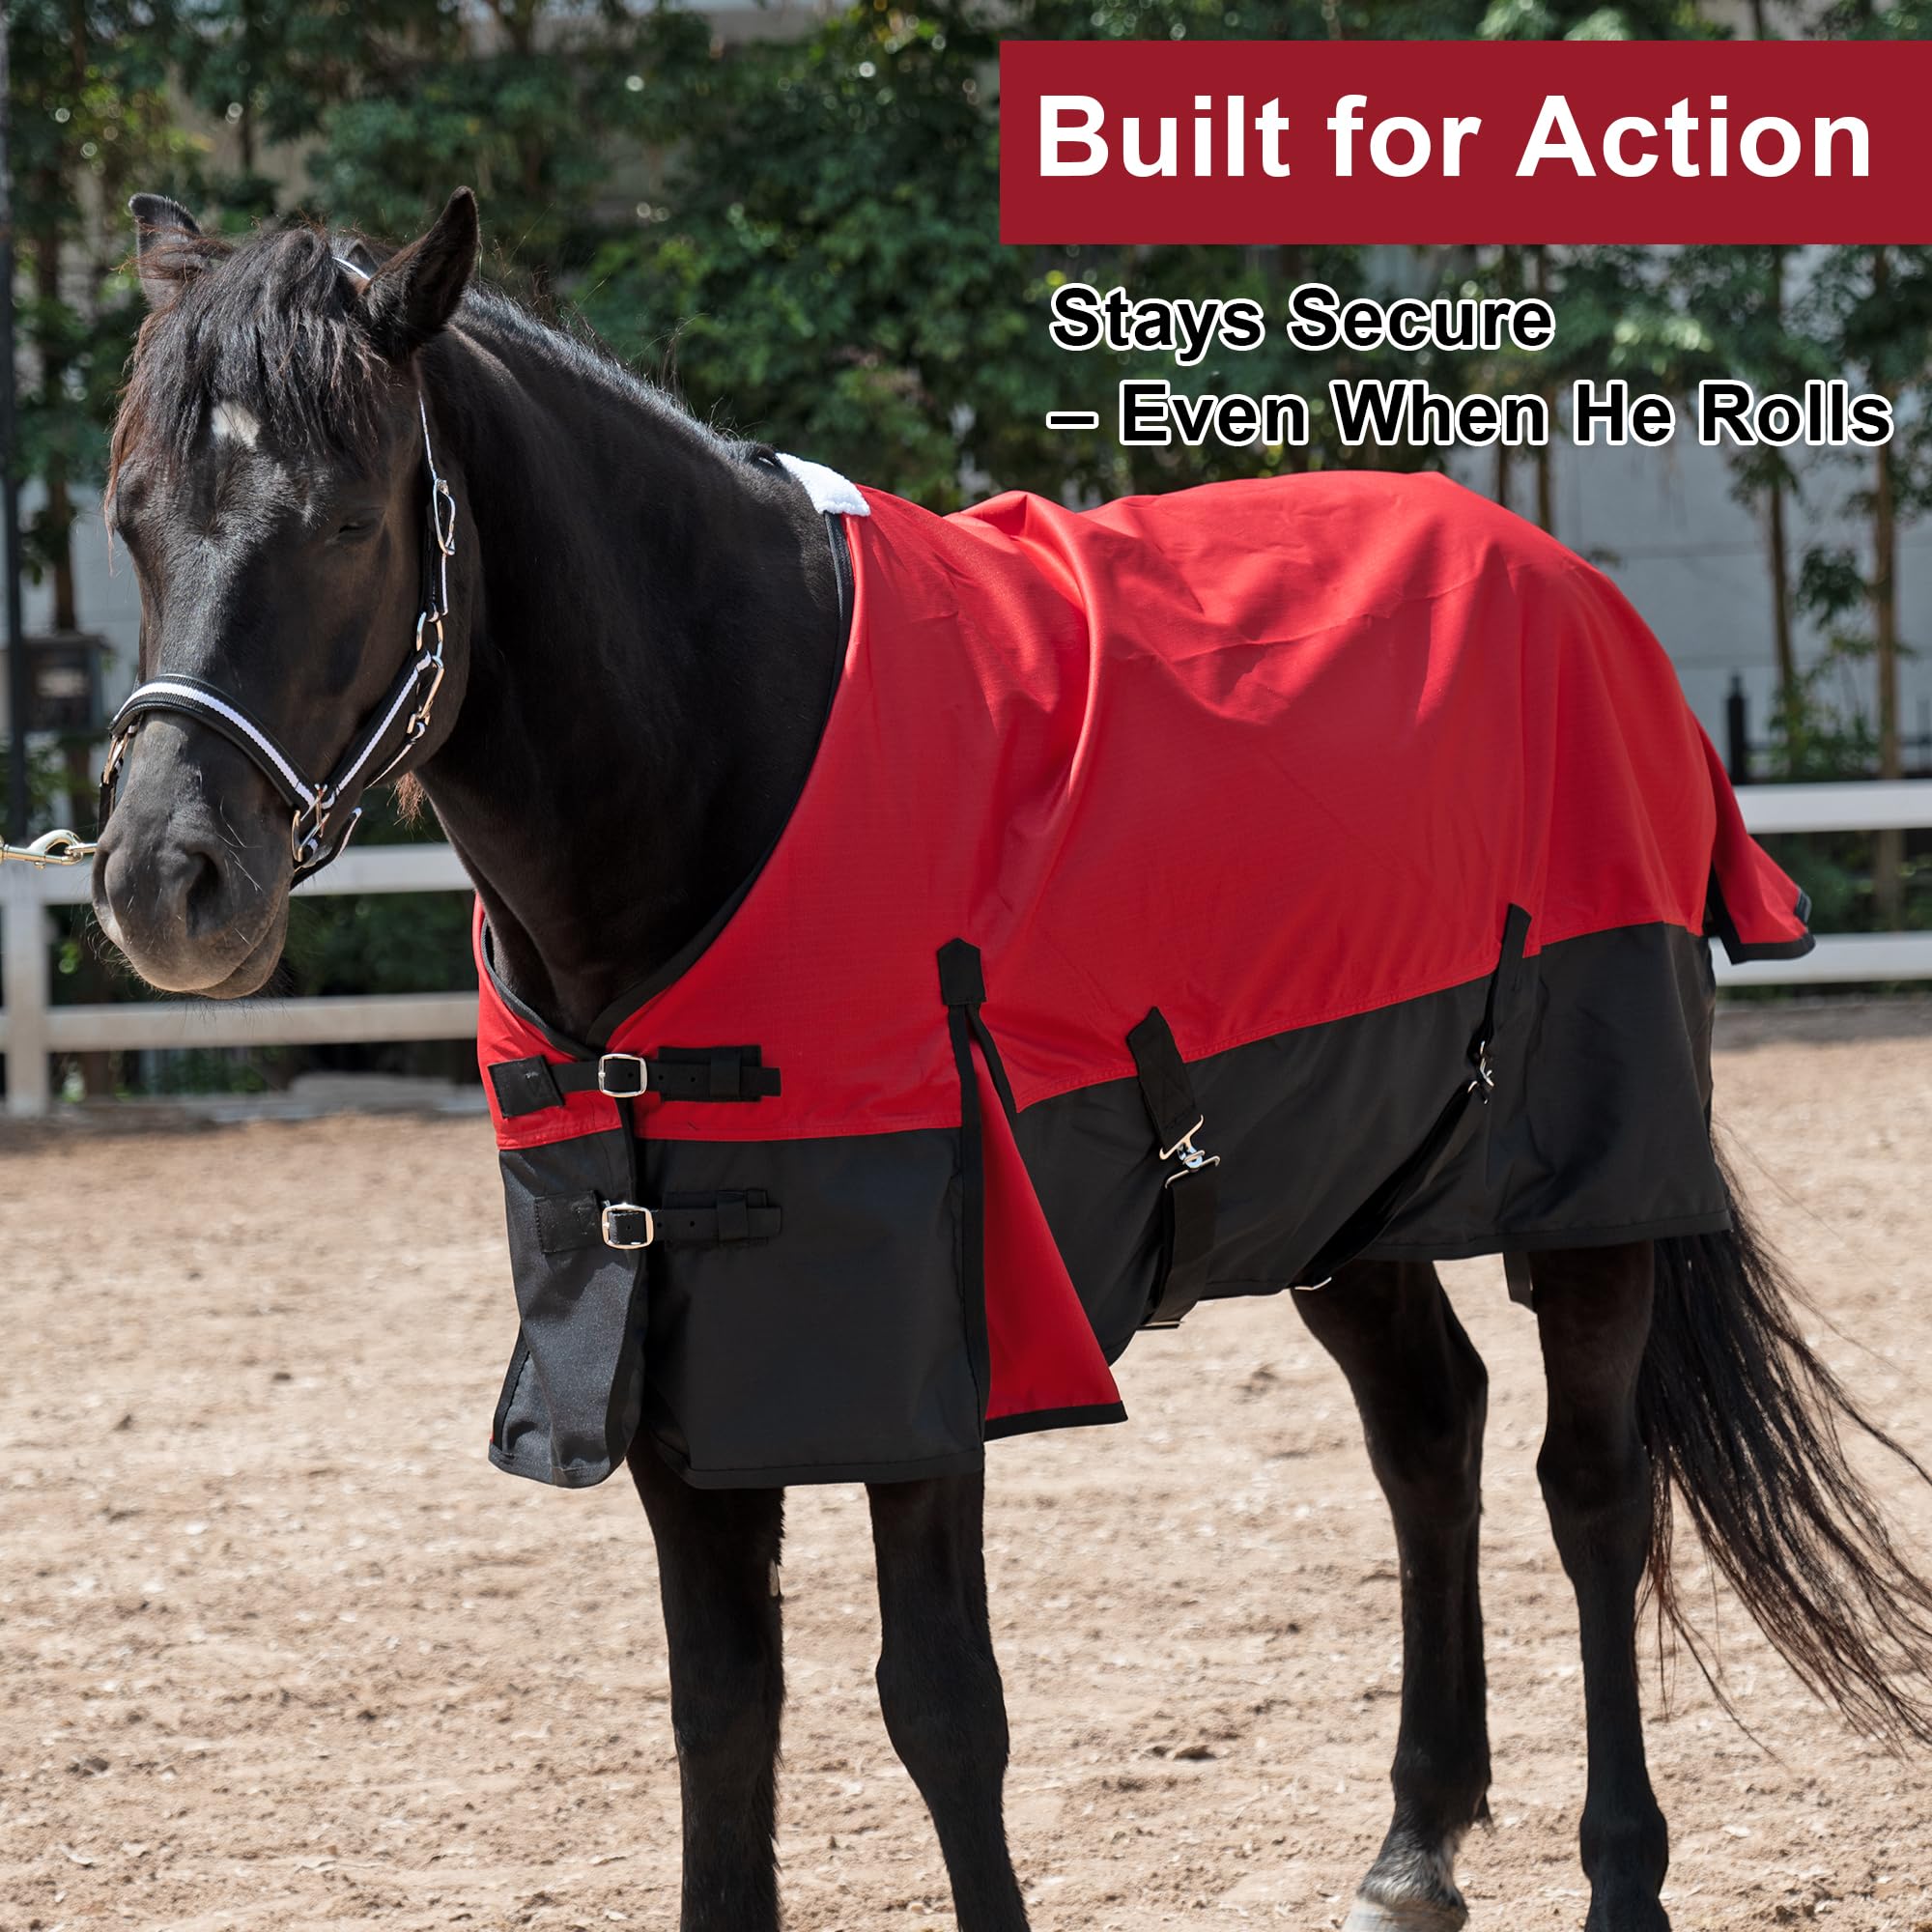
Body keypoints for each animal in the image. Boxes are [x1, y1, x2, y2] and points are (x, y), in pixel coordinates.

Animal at [93, 187, 1932, 1932]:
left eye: (349, 520)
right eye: (129, 519)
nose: (165, 883)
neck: (733, 765)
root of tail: (1569, 584)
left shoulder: (926, 1360)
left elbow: (940, 1709)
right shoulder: (663, 1357)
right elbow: (722, 1711)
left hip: (1595, 1191)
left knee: (1595, 1493)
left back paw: (1622, 1873)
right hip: (1339, 1191)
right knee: (1431, 1434)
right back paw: (1413, 1850)